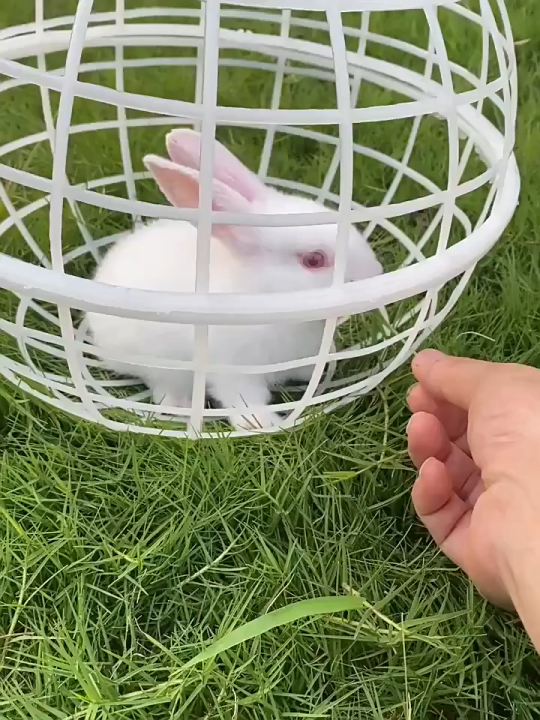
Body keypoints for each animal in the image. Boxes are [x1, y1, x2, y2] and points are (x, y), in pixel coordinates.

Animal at [86, 129, 383, 431]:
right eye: (314, 260)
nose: (376, 272)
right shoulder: (234, 371)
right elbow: (243, 399)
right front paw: (259, 424)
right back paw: (178, 406)